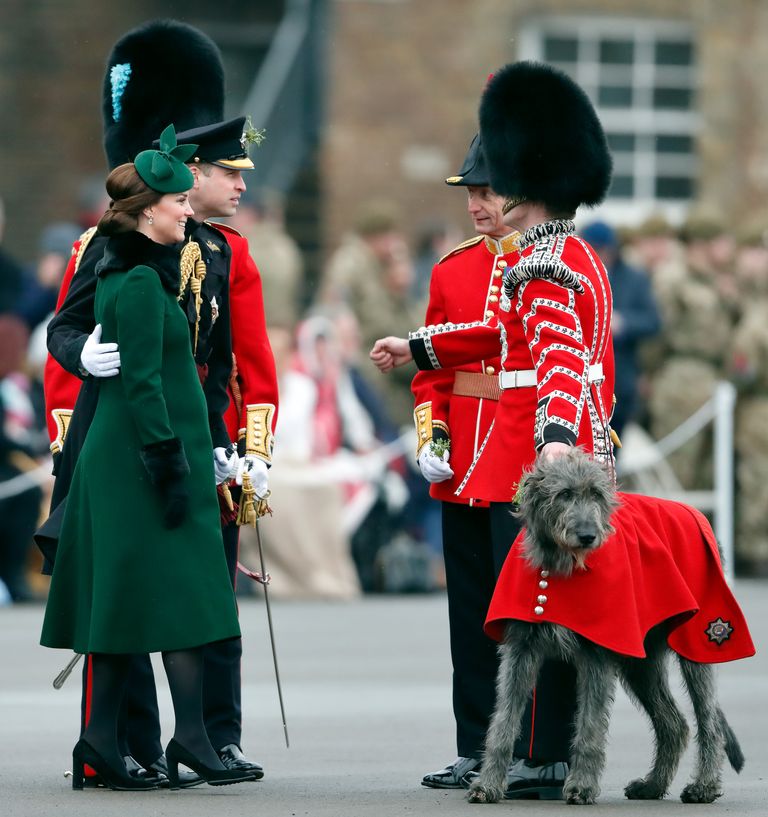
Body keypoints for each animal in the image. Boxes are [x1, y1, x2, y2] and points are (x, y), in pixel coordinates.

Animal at [468, 450, 744, 808]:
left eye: (597, 494)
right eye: (564, 494)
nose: (588, 536)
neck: (560, 564)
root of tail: (694, 512)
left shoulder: (597, 653)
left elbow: (590, 725)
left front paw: (581, 786)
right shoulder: (520, 651)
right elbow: (502, 721)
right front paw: (487, 784)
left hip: (697, 641)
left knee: (709, 721)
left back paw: (704, 786)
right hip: (641, 661)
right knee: (674, 724)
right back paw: (652, 785)